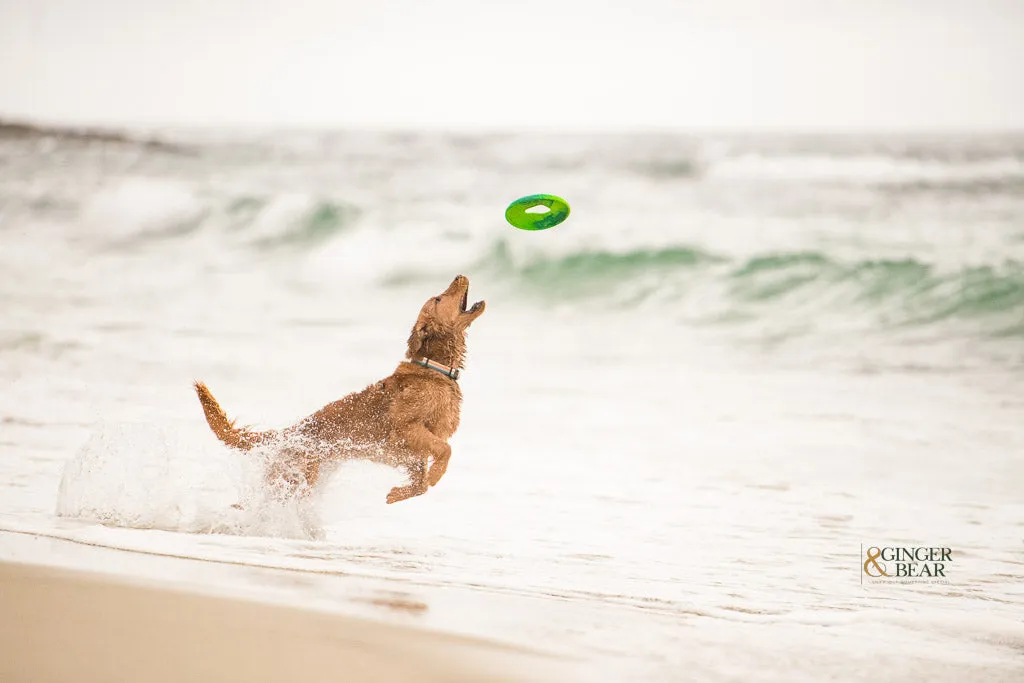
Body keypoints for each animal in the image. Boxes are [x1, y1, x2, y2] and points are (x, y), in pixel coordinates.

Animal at [192, 274, 487, 505]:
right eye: (438, 298)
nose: (460, 274)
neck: (433, 368)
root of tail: (288, 433)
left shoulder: (413, 455)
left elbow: (421, 483)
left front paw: (397, 494)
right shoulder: (406, 429)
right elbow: (445, 451)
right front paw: (436, 475)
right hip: (294, 482)